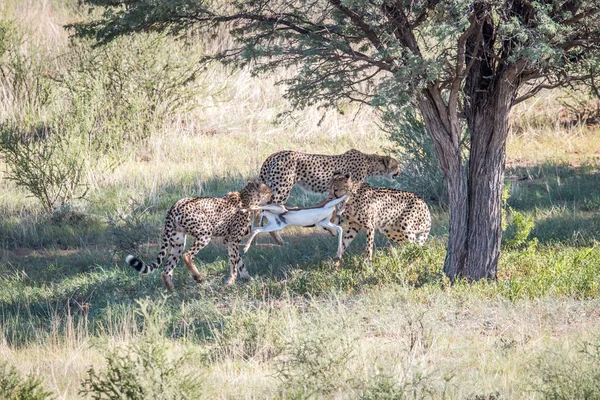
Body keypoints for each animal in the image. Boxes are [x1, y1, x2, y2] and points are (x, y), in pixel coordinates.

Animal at [126, 179, 272, 290]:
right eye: (268, 191)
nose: (272, 197)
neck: (247, 197)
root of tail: (175, 206)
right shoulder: (233, 239)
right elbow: (234, 261)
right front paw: (232, 280)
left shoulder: (228, 240)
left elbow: (238, 260)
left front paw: (246, 277)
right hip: (205, 232)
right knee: (187, 255)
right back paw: (198, 277)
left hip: (178, 242)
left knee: (166, 269)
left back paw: (171, 290)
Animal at [258, 148, 398, 244]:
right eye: (396, 165)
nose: (399, 172)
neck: (370, 163)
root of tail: (273, 155)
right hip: (282, 189)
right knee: (267, 210)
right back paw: (279, 239)